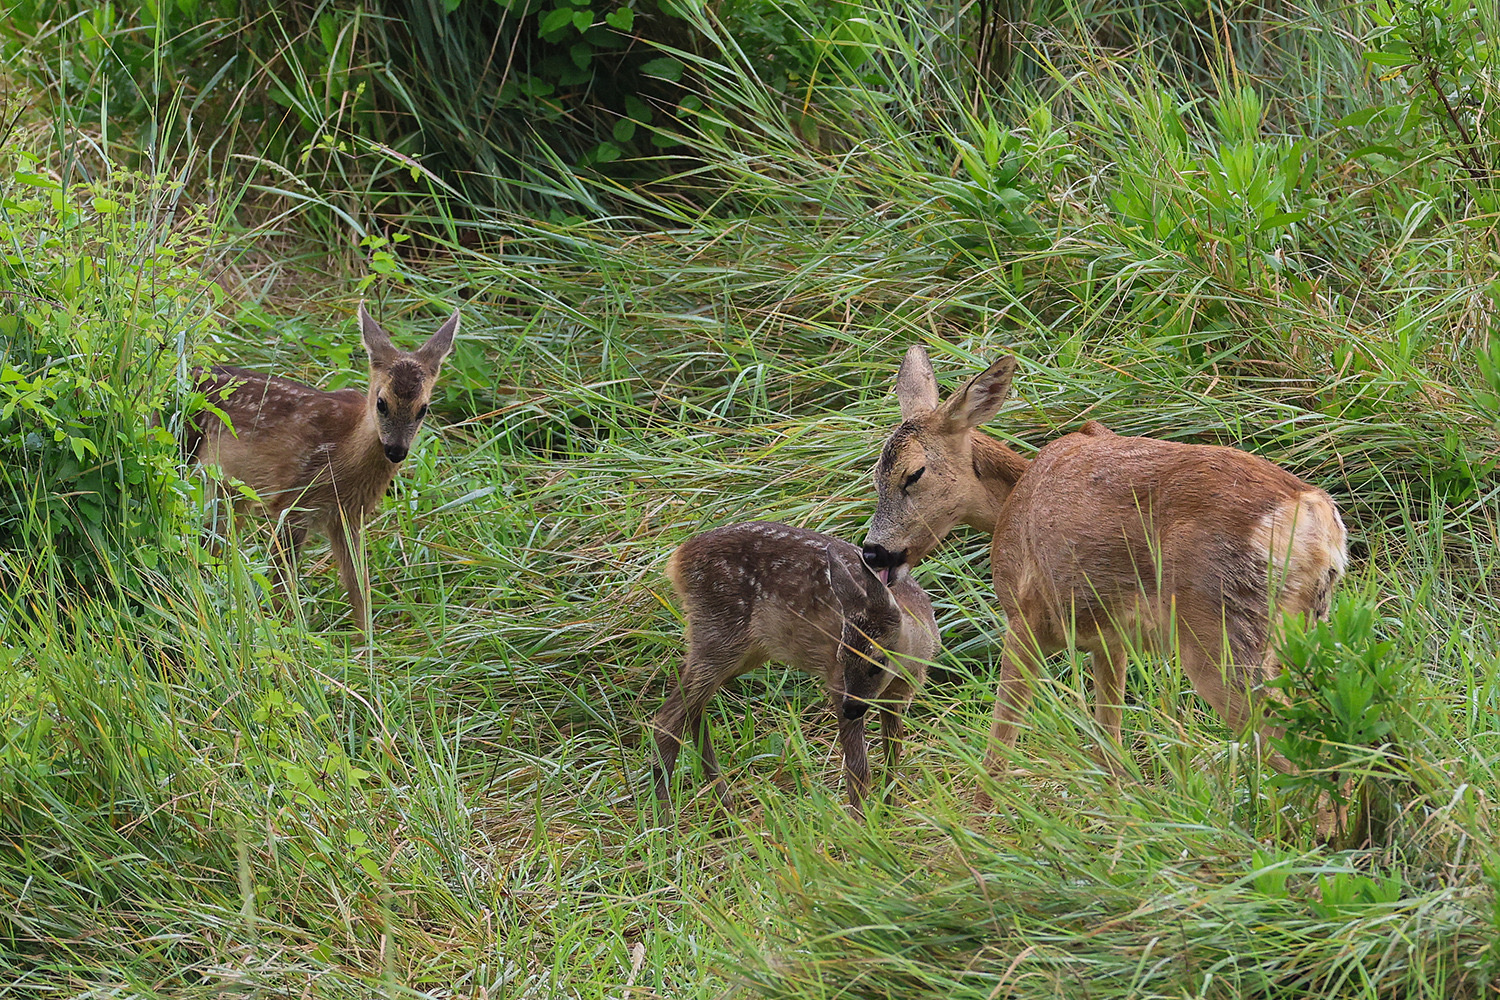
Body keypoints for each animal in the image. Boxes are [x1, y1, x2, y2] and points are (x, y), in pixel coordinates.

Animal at [183, 304, 459, 634]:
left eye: (423, 409)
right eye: (381, 403)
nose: (395, 451)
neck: (344, 455)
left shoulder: (348, 516)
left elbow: (359, 586)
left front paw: (367, 642)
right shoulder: (294, 503)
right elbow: (282, 583)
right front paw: (291, 635)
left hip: (232, 490)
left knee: (212, 543)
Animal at [650, 521, 940, 820]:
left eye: (876, 661)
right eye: (841, 656)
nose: (851, 708)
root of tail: (678, 558)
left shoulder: (898, 695)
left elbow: (893, 752)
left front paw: (890, 813)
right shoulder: (837, 683)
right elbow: (858, 769)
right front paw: (861, 823)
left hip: (743, 650)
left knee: (691, 705)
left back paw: (727, 808)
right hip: (720, 634)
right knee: (667, 718)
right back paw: (666, 822)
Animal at [861, 347, 1347, 805]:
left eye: (913, 474)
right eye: (875, 478)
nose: (873, 551)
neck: (1012, 501)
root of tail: (1312, 515)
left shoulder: (1026, 616)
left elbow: (998, 752)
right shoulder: (1109, 639)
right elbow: (1108, 752)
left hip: (1220, 630)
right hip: (1301, 627)